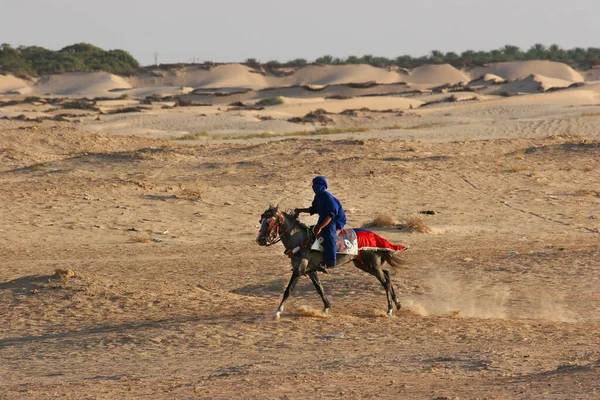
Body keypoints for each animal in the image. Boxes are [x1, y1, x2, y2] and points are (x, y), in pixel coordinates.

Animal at [255, 206, 406, 318]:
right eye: (261, 221)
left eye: (269, 222)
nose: (260, 240)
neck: (300, 239)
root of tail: (377, 237)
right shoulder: (311, 271)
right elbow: (319, 289)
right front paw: (326, 307)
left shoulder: (299, 270)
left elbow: (288, 290)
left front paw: (278, 311)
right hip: (364, 264)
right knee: (386, 274)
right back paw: (397, 303)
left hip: (371, 265)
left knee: (385, 282)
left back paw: (389, 310)